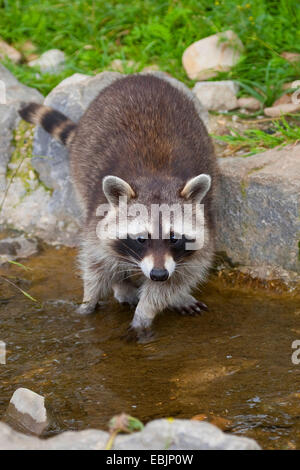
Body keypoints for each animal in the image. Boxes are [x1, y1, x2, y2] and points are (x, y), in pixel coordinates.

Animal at [19, 73, 219, 338]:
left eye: (174, 238)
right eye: (141, 238)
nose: (158, 274)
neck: (156, 177)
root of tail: (139, 77)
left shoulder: (203, 232)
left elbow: (177, 279)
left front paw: (145, 313)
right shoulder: (97, 216)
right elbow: (96, 261)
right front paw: (89, 301)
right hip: (82, 166)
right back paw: (121, 285)